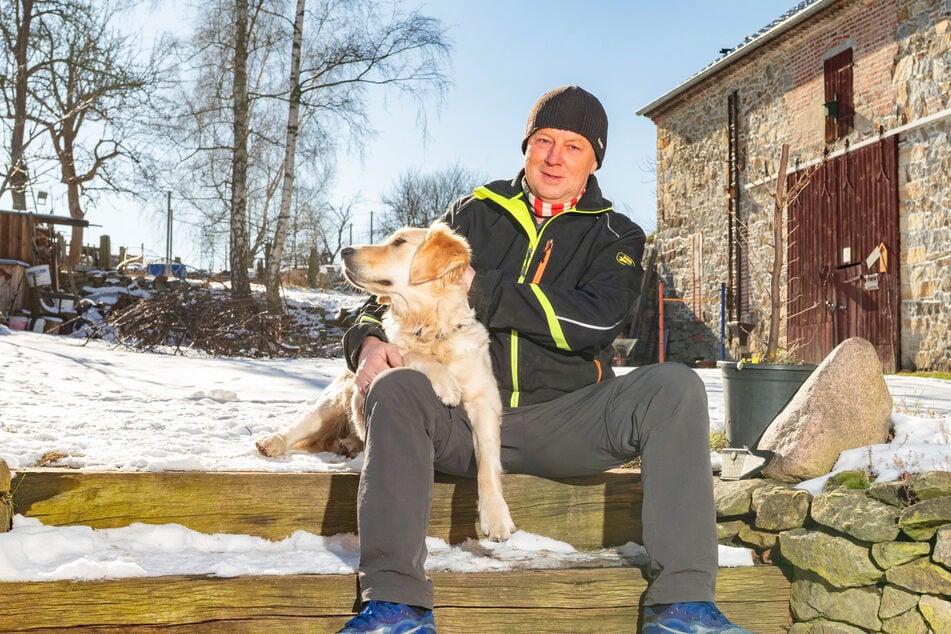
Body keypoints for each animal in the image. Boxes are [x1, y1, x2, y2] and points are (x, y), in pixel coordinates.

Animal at [256, 221, 516, 540]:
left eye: (398, 242)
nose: (345, 250)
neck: (429, 327)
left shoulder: (485, 400)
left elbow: (488, 462)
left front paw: (496, 515)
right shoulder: (387, 357)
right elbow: (406, 352)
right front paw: (445, 383)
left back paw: (348, 444)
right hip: (334, 401)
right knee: (300, 427)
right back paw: (273, 442)